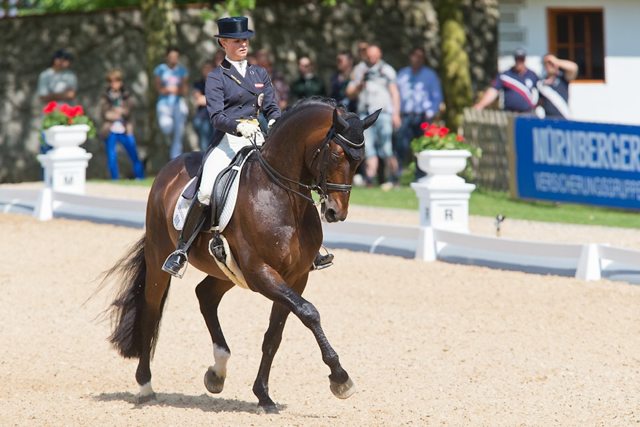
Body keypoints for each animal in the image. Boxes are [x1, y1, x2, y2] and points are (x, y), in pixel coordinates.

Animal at [102, 98, 378, 412]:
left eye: (360, 159)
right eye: (335, 155)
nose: (335, 212)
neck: (281, 195)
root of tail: (169, 168)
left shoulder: (295, 278)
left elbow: (274, 335)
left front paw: (263, 395)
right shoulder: (261, 273)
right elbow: (309, 313)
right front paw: (340, 378)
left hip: (227, 271)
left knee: (205, 296)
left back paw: (217, 372)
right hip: (161, 255)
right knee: (150, 311)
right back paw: (146, 385)